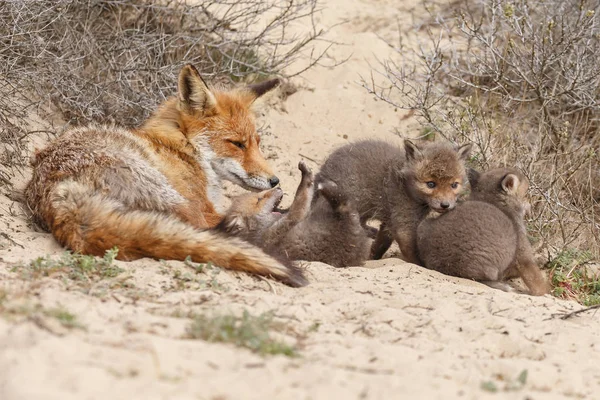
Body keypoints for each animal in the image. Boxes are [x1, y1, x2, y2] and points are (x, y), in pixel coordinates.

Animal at [24, 64, 308, 286]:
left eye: (257, 143)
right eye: (237, 144)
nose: (275, 180)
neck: (182, 147)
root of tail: (60, 190)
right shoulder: (203, 205)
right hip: (171, 195)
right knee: (222, 229)